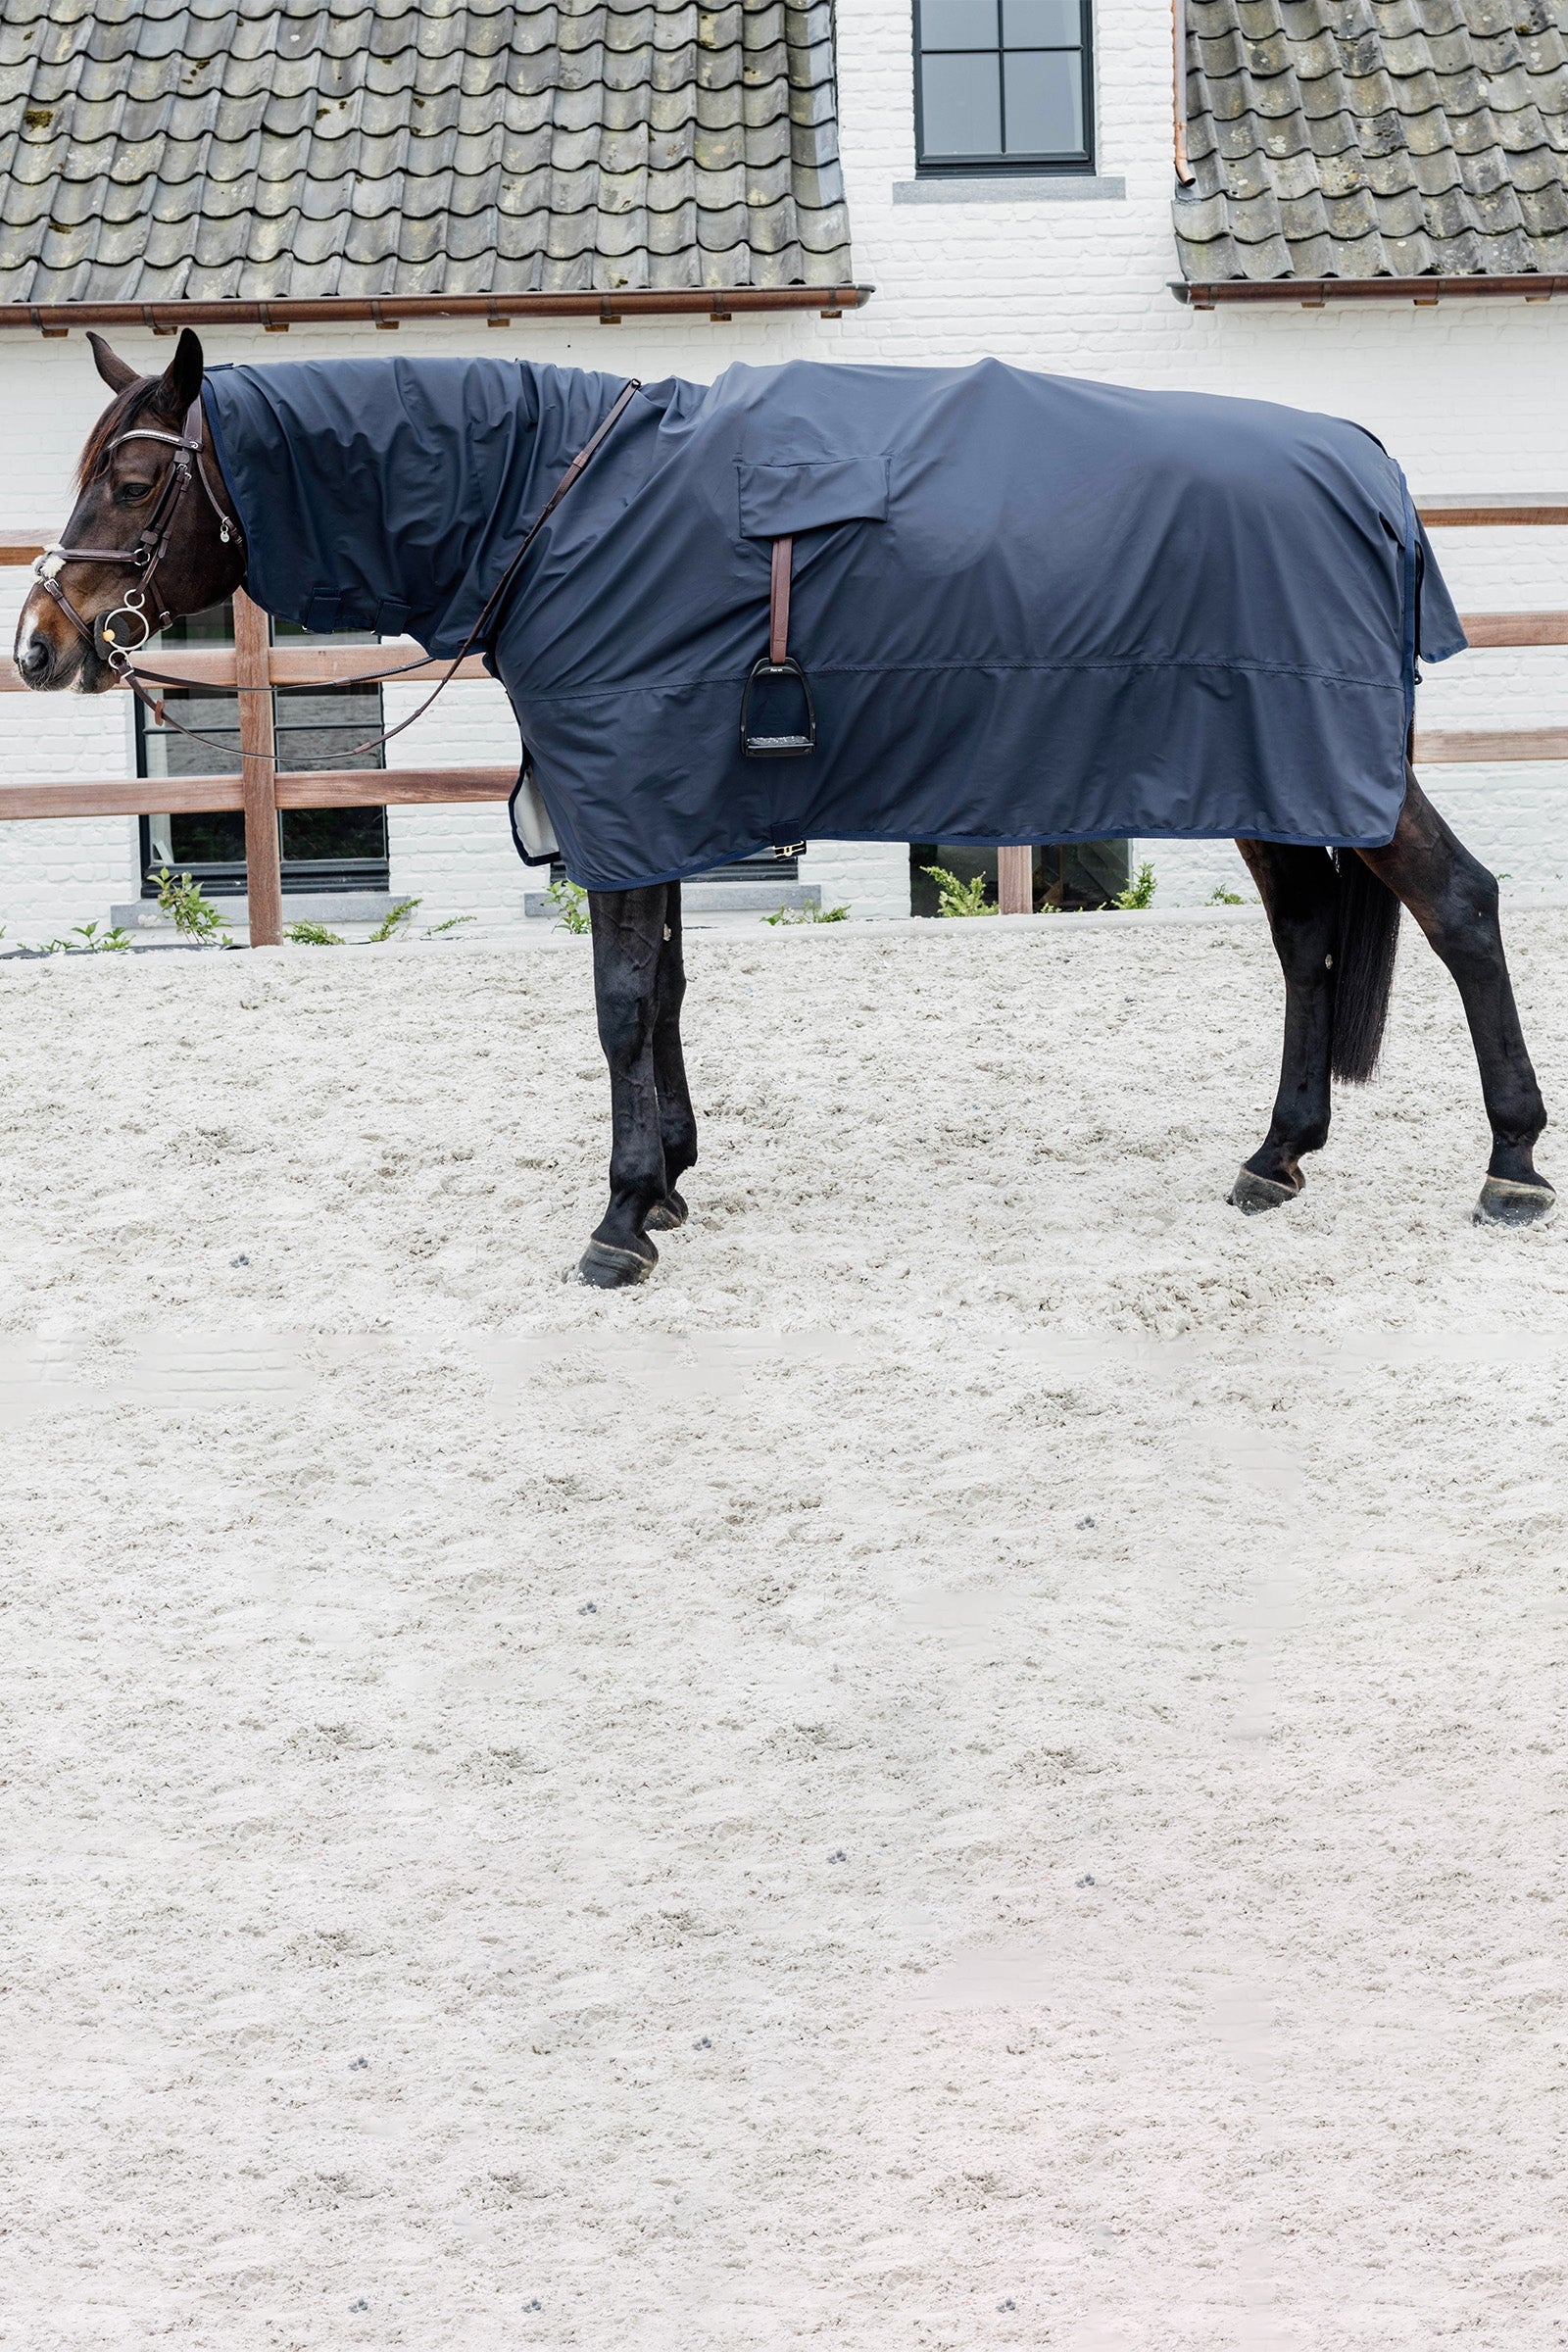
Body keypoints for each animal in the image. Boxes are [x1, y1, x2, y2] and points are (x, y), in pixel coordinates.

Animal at [15, 328, 1553, 1284]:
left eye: (135, 477)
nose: (40, 643)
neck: (553, 507)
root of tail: (1367, 465)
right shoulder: (647, 803)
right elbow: (666, 992)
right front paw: (671, 1179)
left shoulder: (625, 793)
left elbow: (619, 1005)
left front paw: (621, 1218)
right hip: (1276, 779)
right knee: (1307, 940)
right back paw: (1278, 1156)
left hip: (1322, 765)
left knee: (1459, 908)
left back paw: (1512, 1164)